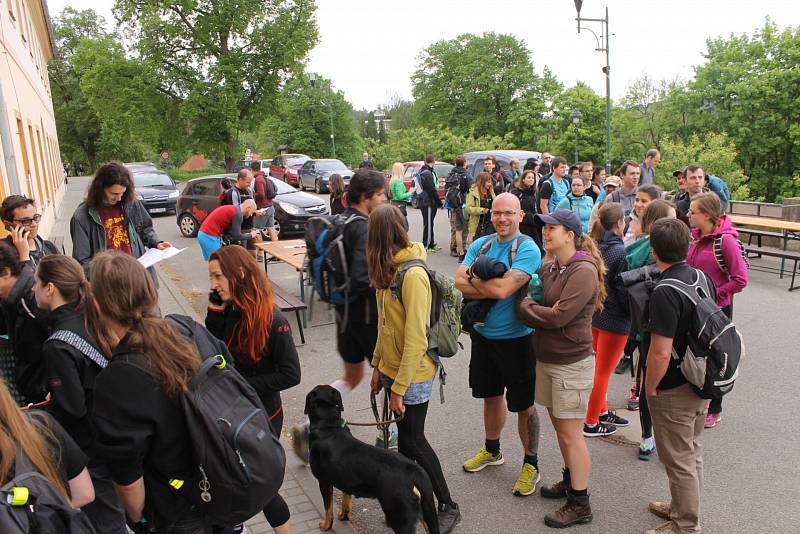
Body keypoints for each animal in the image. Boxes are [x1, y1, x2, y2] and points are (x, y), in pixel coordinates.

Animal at [304, 386, 440, 534]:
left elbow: (328, 508)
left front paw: (325, 525)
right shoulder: (346, 482)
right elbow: (346, 501)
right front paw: (343, 516)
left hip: (400, 516)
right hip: (427, 514)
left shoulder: (324, 481)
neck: (329, 426)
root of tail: (415, 472)